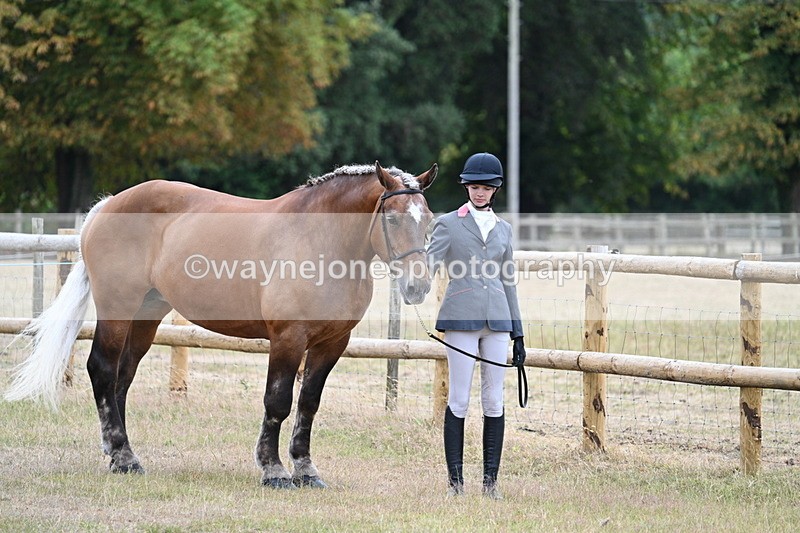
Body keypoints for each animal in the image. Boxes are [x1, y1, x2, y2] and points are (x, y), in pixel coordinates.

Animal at [5, 161, 437, 488]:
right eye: (393, 219)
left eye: (429, 219)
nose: (417, 286)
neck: (321, 238)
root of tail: (109, 205)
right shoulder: (287, 339)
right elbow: (278, 402)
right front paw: (273, 470)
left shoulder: (332, 343)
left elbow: (308, 404)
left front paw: (306, 470)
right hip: (117, 308)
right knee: (103, 370)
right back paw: (124, 456)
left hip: (146, 316)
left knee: (121, 379)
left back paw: (119, 455)